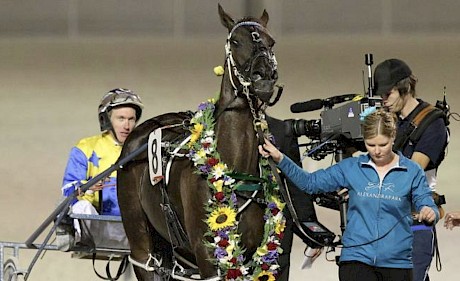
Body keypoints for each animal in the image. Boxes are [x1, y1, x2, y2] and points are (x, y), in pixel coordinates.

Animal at [117, 4, 282, 280]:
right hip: (141, 244)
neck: (234, 171)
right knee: (144, 258)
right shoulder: (207, 258)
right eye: (236, 42)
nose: (265, 79)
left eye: (271, 41)